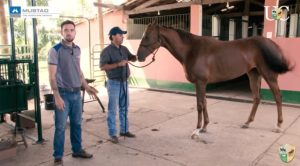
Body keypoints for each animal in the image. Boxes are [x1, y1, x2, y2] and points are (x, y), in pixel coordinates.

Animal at [137, 22, 292, 137]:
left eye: (147, 36)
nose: (138, 56)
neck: (191, 50)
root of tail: (273, 44)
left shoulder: (200, 82)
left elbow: (200, 105)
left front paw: (197, 129)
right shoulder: (202, 83)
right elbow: (204, 103)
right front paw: (205, 127)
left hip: (269, 75)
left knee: (278, 97)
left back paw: (278, 126)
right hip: (253, 74)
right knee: (257, 98)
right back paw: (247, 123)